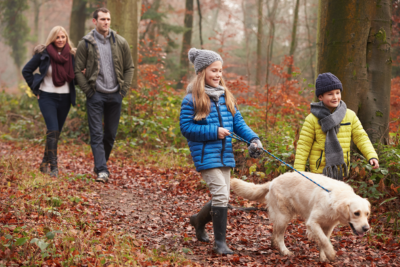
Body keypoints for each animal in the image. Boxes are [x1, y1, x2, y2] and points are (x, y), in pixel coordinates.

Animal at [231, 173, 372, 262]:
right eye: (356, 213)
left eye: (367, 214)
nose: (366, 228)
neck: (333, 198)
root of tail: (273, 181)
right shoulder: (312, 223)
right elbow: (324, 240)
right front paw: (331, 254)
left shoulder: (328, 226)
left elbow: (324, 240)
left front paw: (323, 257)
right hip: (284, 216)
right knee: (279, 236)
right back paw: (285, 251)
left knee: (275, 232)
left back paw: (274, 244)